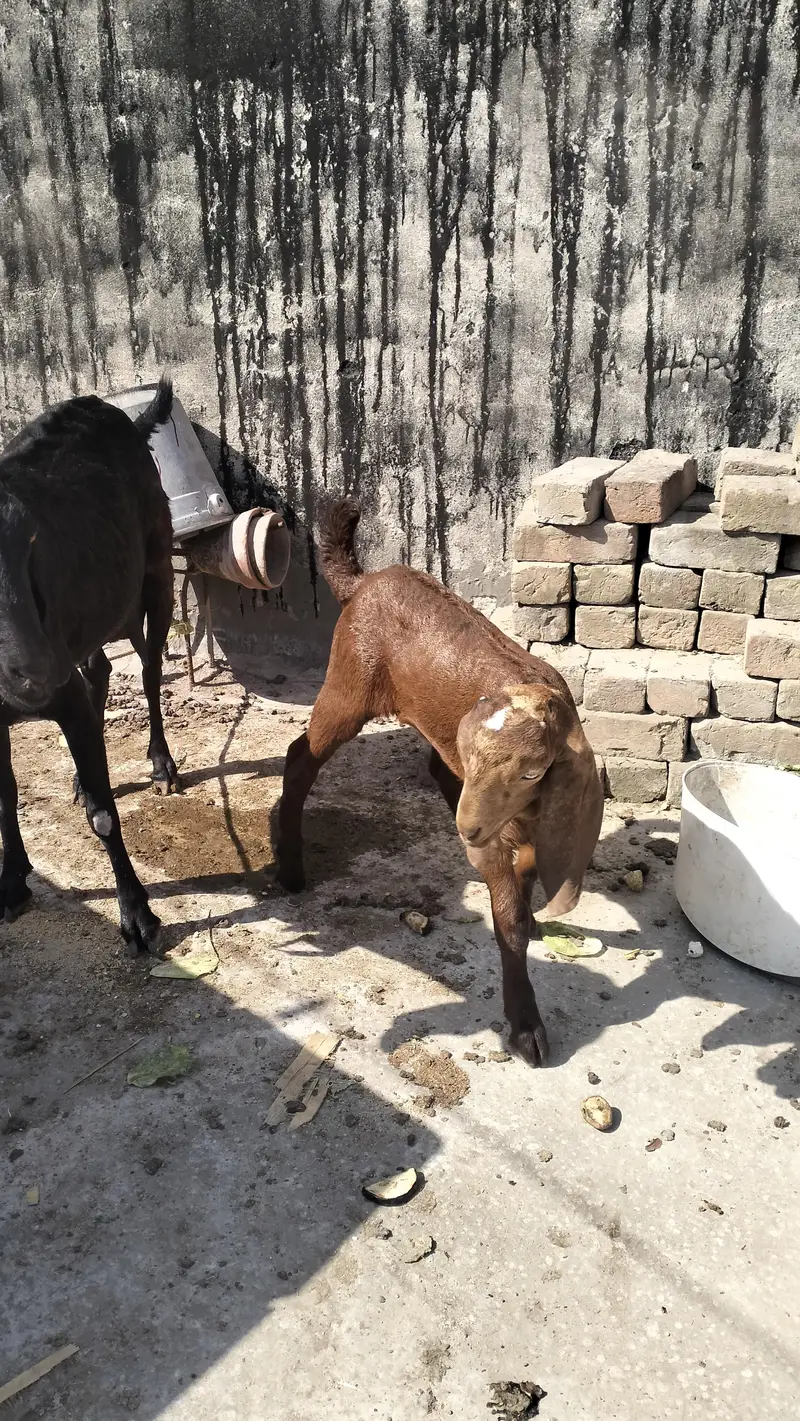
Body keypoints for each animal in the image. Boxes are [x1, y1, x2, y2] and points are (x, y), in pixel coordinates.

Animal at [0, 377, 179, 953]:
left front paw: (137, 915)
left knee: (148, 669)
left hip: (156, 569)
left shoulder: (64, 692)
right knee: (98, 670)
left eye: (29, 555)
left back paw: (161, 764)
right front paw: (12, 883)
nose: (37, 671)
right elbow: (5, 795)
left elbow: (104, 815)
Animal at [275, 498, 604, 1066]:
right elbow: (508, 920)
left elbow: (524, 888)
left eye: (533, 771)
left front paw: (529, 918)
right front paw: (525, 1025)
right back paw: (290, 867)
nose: (469, 829)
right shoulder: (495, 834)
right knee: (302, 756)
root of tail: (366, 581)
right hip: (349, 680)